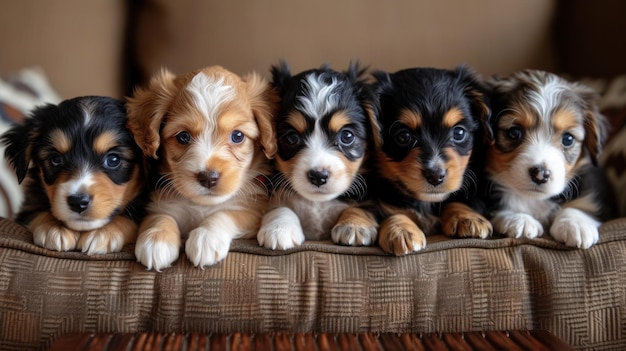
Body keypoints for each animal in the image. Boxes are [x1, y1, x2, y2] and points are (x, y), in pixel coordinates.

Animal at [1, 96, 145, 254]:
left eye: (113, 160)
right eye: (56, 159)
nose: (78, 202)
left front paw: (104, 232)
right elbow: (36, 211)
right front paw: (54, 228)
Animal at [127, 64, 276, 270]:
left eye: (237, 136)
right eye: (183, 137)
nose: (208, 177)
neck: (201, 205)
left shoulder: (253, 209)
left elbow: (226, 213)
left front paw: (207, 237)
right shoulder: (158, 204)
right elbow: (160, 216)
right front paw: (156, 240)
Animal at [256, 62, 378, 250]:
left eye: (347, 136)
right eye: (292, 137)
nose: (318, 176)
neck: (317, 203)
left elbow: (362, 207)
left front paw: (354, 225)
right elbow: (279, 207)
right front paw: (278, 229)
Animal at [368, 65, 490, 256]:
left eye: (459, 133)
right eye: (403, 137)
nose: (435, 176)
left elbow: (455, 199)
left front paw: (468, 217)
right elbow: (392, 211)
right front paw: (401, 231)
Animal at [482, 69, 608, 250]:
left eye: (568, 139)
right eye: (514, 132)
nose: (540, 174)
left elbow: (581, 205)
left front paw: (575, 224)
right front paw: (519, 218)